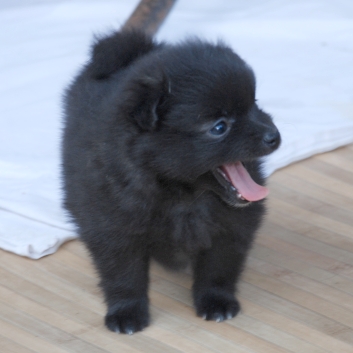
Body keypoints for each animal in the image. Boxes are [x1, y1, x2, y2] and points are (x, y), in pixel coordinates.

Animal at [61, 31, 280, 332]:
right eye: (219, 127)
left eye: (254, 105)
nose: (274, 136)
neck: (182, 194)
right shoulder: (113, 226)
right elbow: (124, 274)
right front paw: (126, 311)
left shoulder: (230, 225)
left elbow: (218, 267)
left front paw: (216, 300)